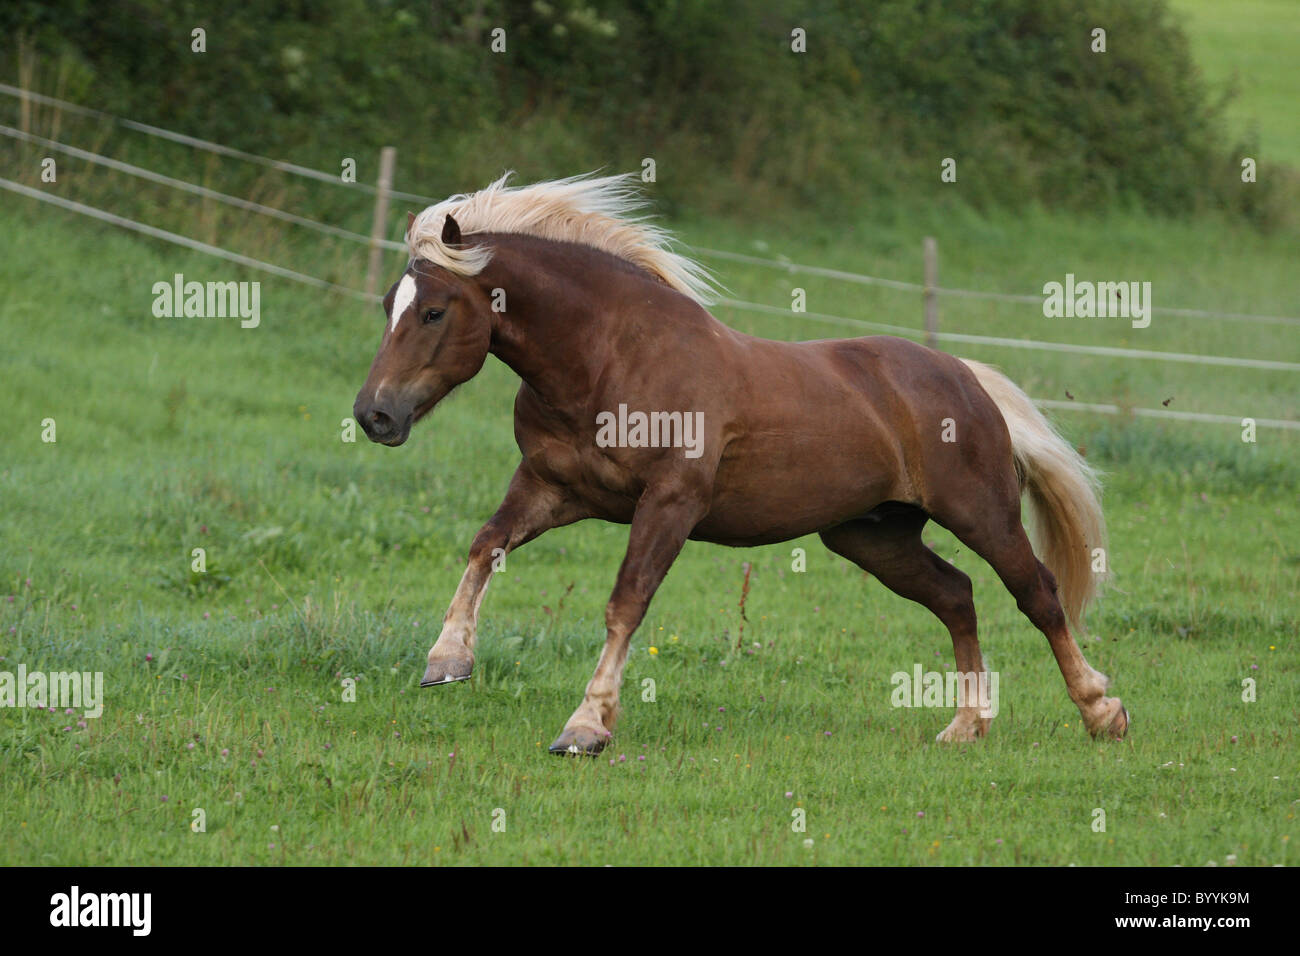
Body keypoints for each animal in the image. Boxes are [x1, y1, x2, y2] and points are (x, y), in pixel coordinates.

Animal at [352, 172, 1128, 755]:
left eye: (433, 312)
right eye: (389, 304)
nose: (374, 415)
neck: (610, 359)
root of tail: (963, 374)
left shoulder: (670, 502)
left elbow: (625, 601)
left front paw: (586, 727)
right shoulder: (551, 488)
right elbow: (485, 544)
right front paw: (447, 660)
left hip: (980, 513)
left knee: (1037, 593)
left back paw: (1101, 711)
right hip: (871, 536)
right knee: (957, 595)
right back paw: (965, 725)